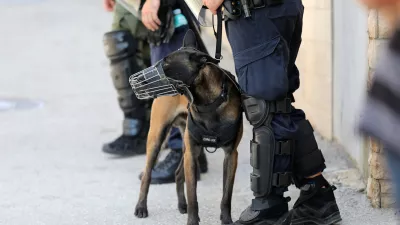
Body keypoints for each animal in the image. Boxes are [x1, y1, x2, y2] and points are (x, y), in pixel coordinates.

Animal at [133, 30, 242, 225]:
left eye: (166, 62)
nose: (141, 79)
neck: (208, 104)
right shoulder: (192, 153)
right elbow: (193, 196)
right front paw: (192, 220)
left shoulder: (231, 155)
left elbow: (226, 195)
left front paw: (226, 220)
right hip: (158, 138)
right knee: (147, 175)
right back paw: (141, 207)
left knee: (177, 174)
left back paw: (181, 205)